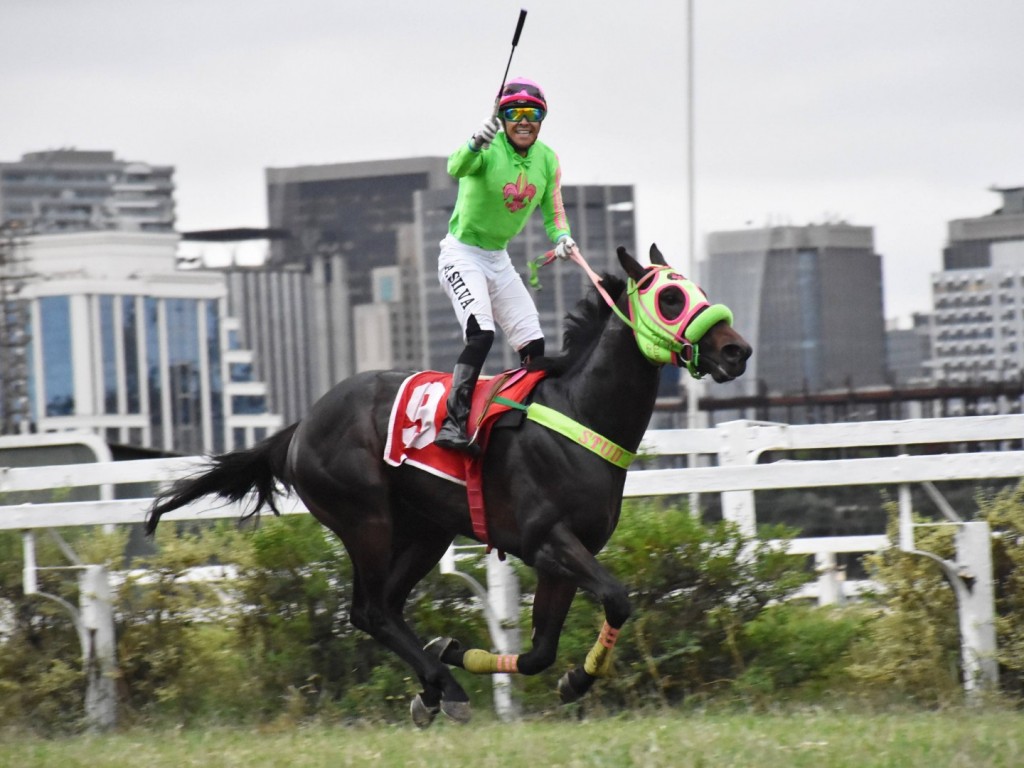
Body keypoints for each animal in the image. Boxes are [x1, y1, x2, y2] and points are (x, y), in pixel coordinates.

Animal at [146, 246, 753, 729]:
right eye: (670, 298)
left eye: (698, 290)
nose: (736, 350)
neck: (581, 413)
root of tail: (302, 425)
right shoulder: (548, 539)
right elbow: (617, 597)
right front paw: (572, 678)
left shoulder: (562, 557)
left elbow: (539, 652)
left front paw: (524, 668)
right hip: (366, 520)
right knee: (370, 611)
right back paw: (448, 688)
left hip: (425, 531)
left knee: (387, 607)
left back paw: (436, 687)